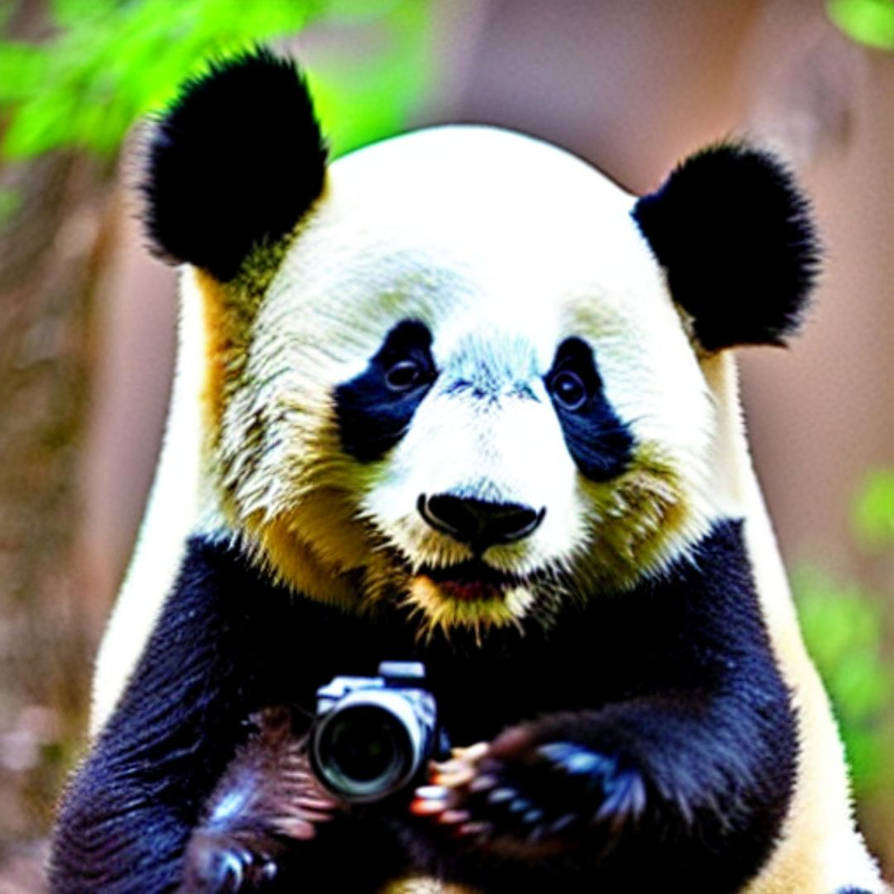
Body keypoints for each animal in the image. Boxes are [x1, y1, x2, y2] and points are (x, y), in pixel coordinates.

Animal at [49, 48, 885, 893]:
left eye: (572, 387)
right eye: (404, 371)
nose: (482, 512)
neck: (463, 634)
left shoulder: (687, 574)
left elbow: (727, 749)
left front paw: (540, 791)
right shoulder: (235, 583)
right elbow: (126, 809)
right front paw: (277, 799)